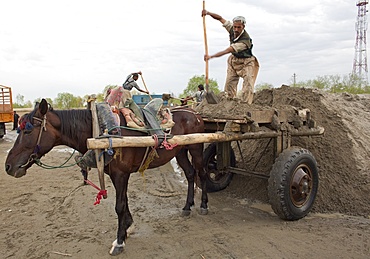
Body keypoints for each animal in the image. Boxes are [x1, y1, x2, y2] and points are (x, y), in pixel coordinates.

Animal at [5, 99, 208, 256]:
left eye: (28, 130)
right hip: (180, 151)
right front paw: (128, 227)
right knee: (190, 174)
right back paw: (187, 207)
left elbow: (119, 206)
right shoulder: (116, 175)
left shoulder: (121, 175)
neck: (100, 132)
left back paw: (204, 205)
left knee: (202, 174)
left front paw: (119, 241)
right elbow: (124, 202)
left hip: (196, 149)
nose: (8, 166)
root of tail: (194, 113)